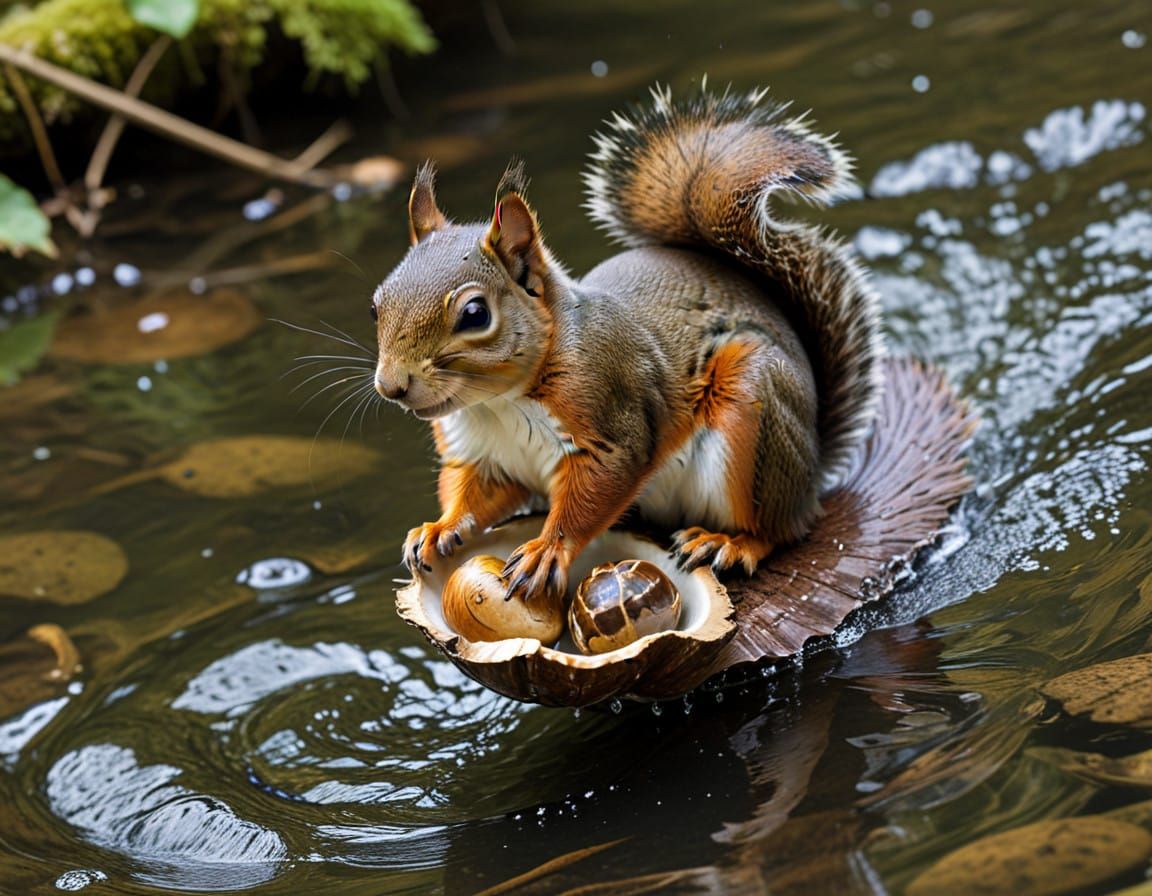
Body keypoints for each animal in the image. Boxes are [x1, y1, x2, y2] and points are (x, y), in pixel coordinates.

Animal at [371, 83, 884, 604]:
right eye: (376, 305)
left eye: (475, 314)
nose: (391, 386)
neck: (499, 403)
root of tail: (812, 469)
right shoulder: (486, 457)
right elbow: (476, 496)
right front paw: (439, 528)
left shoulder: (612, 420)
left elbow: (595, 492)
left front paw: (546, 551)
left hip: (754, 410)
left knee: (780, 529)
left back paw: (730, 543)